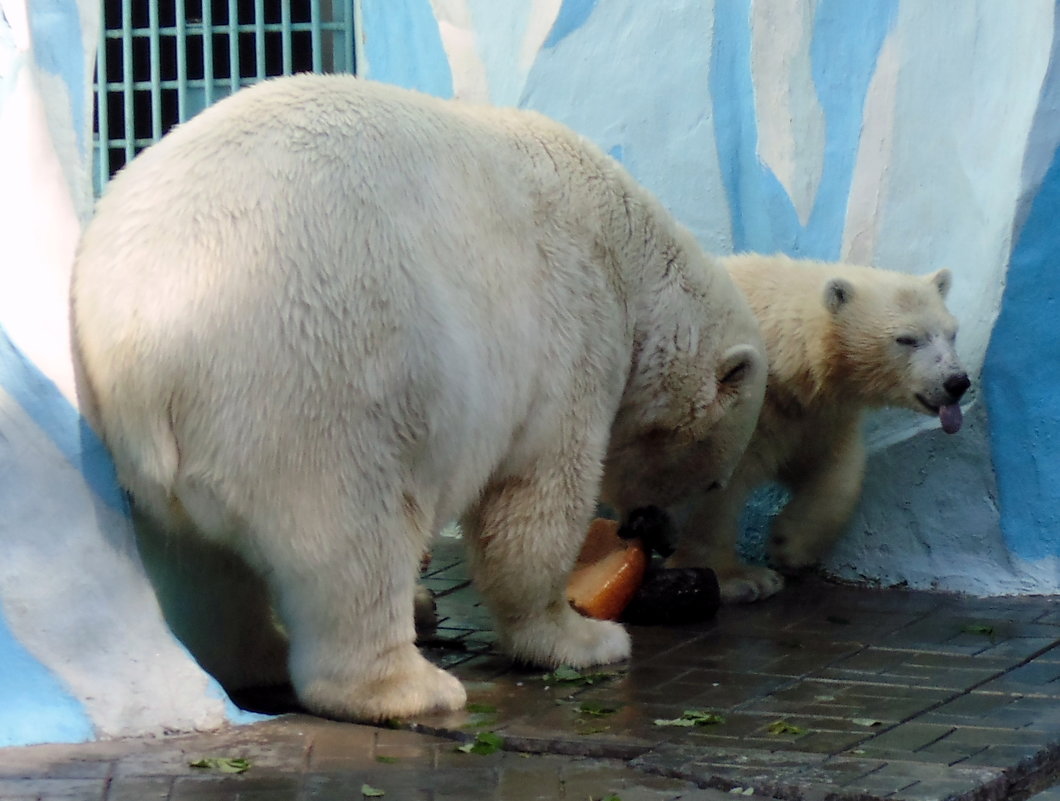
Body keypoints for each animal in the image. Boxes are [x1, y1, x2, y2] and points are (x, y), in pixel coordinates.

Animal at [76, 78, 771, 724]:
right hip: (315, 380)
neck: (626, 252)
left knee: (198, 567)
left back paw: (255, 656)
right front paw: (585, 638)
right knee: (354, 537)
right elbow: (535, 500)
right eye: (711, 479)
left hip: (158, 468)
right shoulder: (572, 332)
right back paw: (409, 687)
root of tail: (145, 353)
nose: (657, 532)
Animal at [669, 253, 970, 601]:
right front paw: (741, 579)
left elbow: (835, 471)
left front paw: (791, 543)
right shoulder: (739, 408)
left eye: (952, 333)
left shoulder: (814, 416)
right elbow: (714, 484)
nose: (957, 382)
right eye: (906, 338)